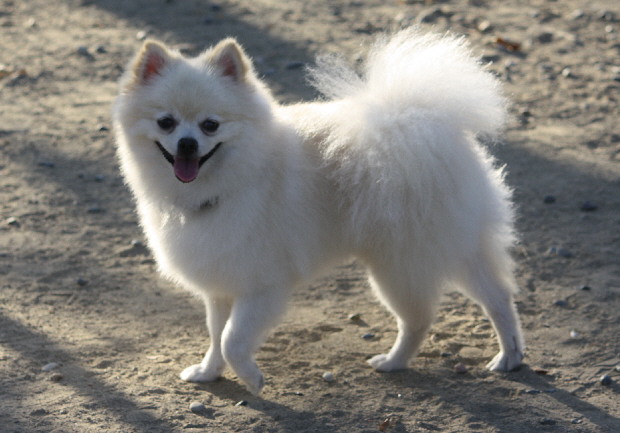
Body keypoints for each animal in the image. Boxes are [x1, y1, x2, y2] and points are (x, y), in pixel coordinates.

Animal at [113, 28, 524, 394]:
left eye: (210, 125)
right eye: (166, 122)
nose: (186, 143)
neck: (229, 182)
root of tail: (419, 121)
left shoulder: (263, 286)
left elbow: (232, 340)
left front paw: (251, 378)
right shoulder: (221, 282)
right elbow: (216, 335)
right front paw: (208, 372)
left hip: (400, 264)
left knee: (419, 319)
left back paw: (394, 362)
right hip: (459, 242)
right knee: (498, 296)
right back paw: (510, 356)